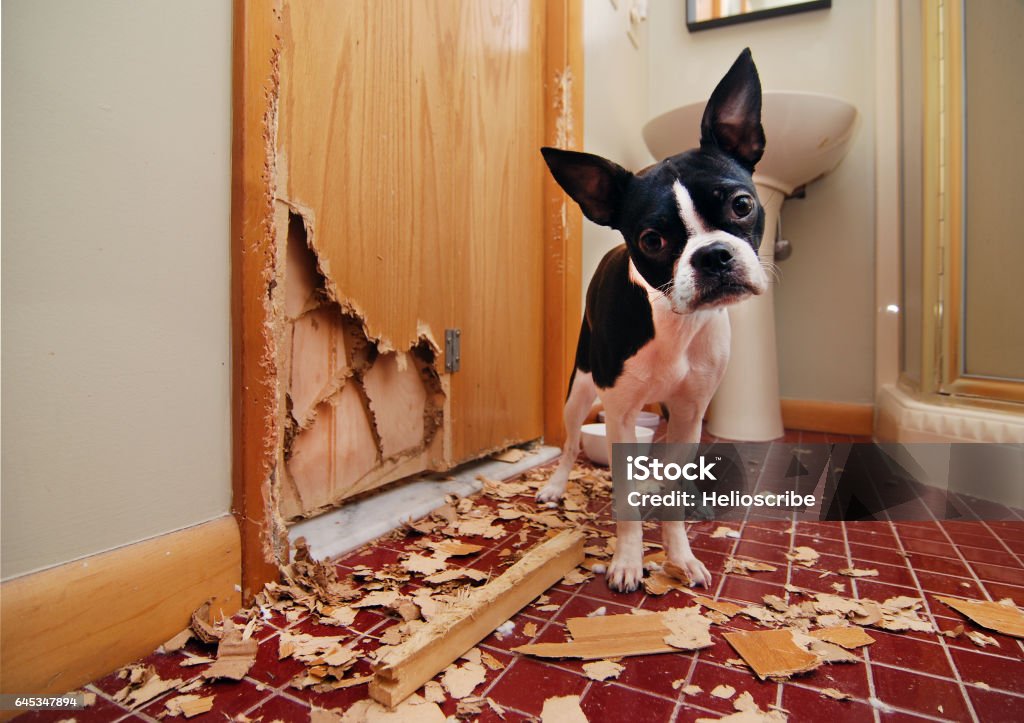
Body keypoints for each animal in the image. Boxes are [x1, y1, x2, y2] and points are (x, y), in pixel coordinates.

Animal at [536, 50, 770, 589]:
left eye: (741, 205)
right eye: (652, 240)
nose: (714, 255)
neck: (675, 325)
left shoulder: (688, 414)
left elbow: (674, 495)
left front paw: (679, 556)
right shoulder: (619, 412)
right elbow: (621, 500)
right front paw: (628, 561)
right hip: (579, 391)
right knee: (570, 441)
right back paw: (557, 485)